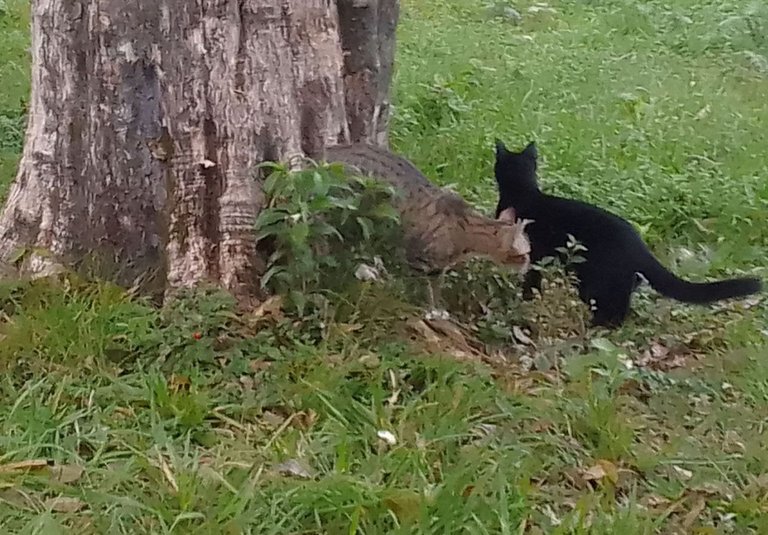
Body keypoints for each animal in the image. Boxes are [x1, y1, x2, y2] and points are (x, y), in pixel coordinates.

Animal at [496, 139, 760, 326]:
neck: (524, 192)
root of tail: (637, 242)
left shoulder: (533, 255)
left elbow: (531, 280)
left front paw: (526, 300)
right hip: (618, 278)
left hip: (594, 278)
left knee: (612, 307)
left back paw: (599, 327)